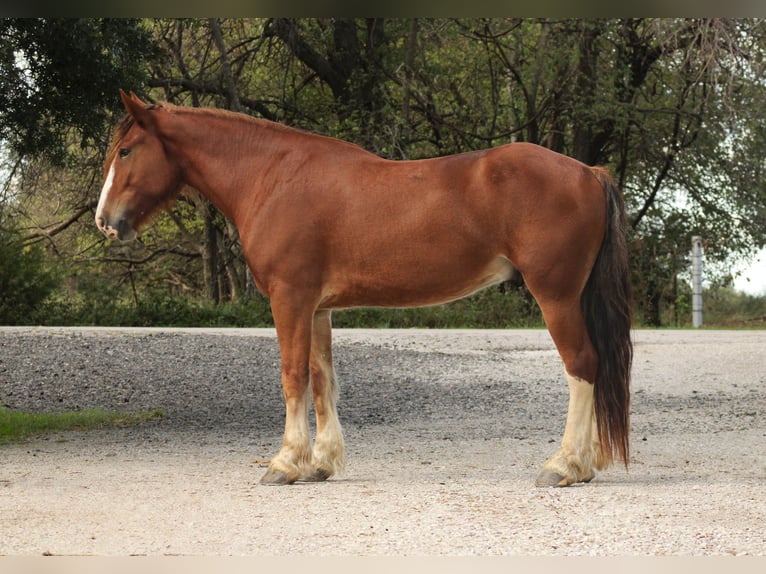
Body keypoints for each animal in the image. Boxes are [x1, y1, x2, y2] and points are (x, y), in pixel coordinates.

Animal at [96, 90, 633, 487]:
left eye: (126, 150)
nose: (105, 222)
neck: (274, 177)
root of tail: (588, 172)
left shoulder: (290, 298)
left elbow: (293, 376)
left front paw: (284, 463)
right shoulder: (317, 308)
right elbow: (322, 379)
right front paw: (320, 463)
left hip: (555, 296)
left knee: (581, 365)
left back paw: (563, 465)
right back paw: (584, 465)